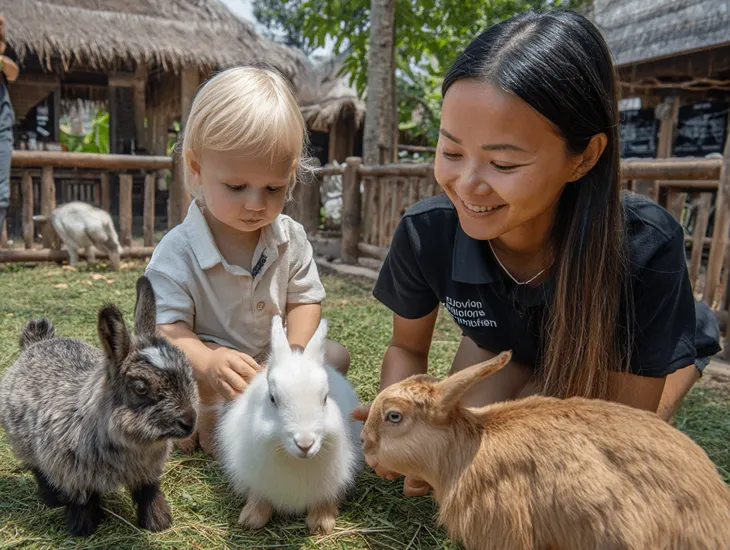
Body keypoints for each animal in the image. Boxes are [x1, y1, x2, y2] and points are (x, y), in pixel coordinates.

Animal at [0, 276, 199, 537]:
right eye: (140, 387)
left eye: (188, 369)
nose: (189, 421)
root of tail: (37, 342)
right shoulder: (73, 475)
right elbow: (82, 502)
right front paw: (83, 529)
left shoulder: (148, 473)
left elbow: (149, 494)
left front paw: (158, 523)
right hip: (25, 444)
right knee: (39, 471)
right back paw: (52, 499)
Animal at [216, 315, 363, 535]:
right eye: (272, 399)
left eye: (325, 398)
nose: (305, 444)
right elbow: (259, 494)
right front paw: (252, 518)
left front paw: (322, 522)